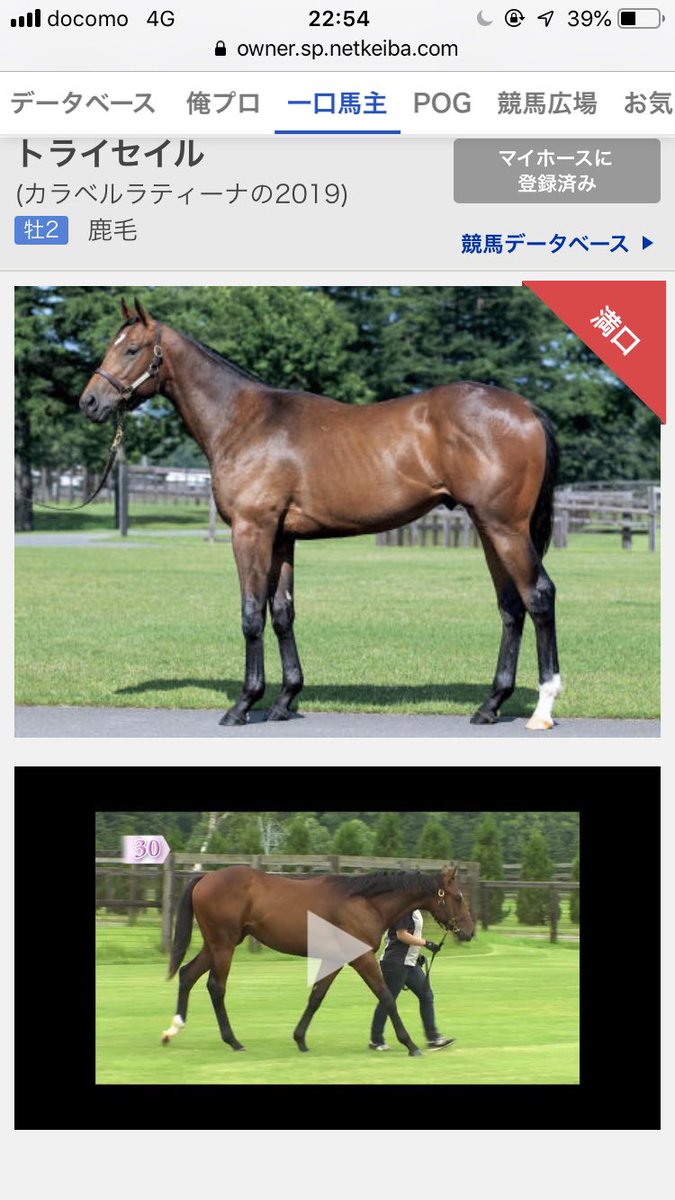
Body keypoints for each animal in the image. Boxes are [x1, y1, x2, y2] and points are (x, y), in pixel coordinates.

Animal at [79, 297, 562, 730]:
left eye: (131, 349)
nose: (89, 402)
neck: (244, 422)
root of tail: (528, 410)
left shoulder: (251, 531)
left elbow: (251, 613)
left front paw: (244, 704)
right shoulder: (281, 537)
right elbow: (282, 613)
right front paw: (285, 700)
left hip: (504, 528)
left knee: (538, 596)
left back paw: (542, 708)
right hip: (489, 529)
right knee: (511, 606)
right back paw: (490, 705)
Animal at [160, 865, 475, 1056]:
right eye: (458, 897)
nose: (469, 931)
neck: (365, 902)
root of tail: (206, 878)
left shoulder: (334, 959)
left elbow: (316, 997)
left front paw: (300, 1039)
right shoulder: (362, 958)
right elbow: (386, 996)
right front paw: (410, 1044)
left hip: (217, 944)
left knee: (187, 974)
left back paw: (172, 1030)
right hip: (224, 944)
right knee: (216, 987)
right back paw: (233, 1041)